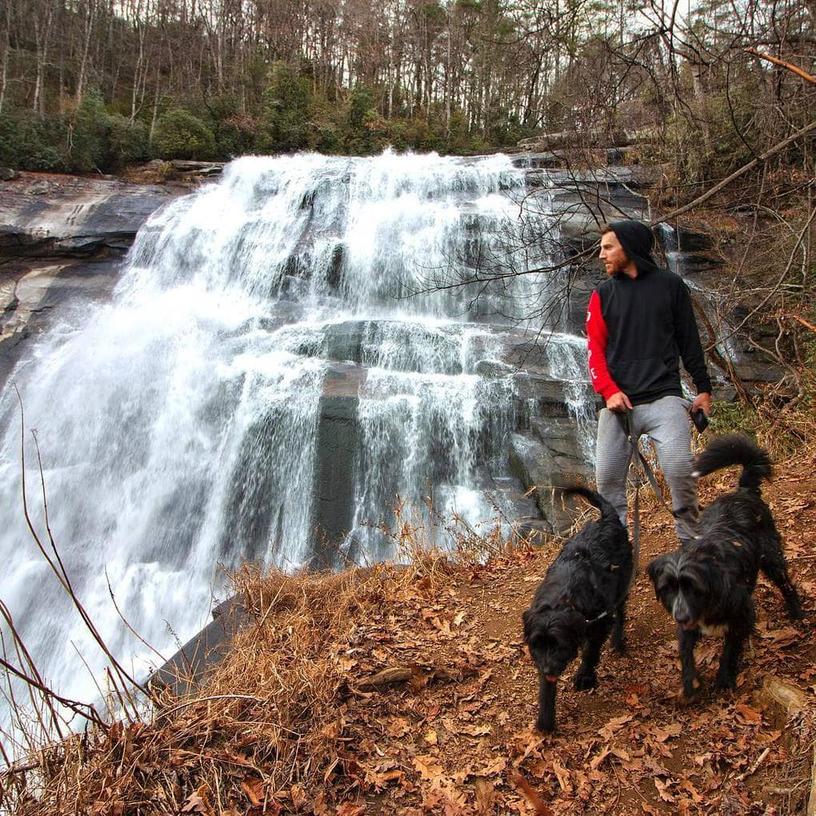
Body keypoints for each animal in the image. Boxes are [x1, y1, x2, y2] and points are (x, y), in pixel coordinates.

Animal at [524, 484, 632, 732]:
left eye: (558, 645)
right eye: (537, 645)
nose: (547, 670)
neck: (563, 599)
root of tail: (607, 519)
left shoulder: (599, 622)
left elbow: (591, 651)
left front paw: (585, 676)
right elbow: (546, 689)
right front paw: (546, 718)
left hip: (621, 585)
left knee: (621, 613)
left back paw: (618, 641)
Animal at [648, 436, 808, 700]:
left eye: (692, 587)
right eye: (668, 588)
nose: (680, 615)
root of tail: (743, 491)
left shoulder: (742, 613)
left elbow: (730, 648)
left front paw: (724, 678)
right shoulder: (687, 625)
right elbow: (685, 652)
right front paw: (690, 683)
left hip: (771, 557)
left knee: (785, 583)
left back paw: (797, 612)